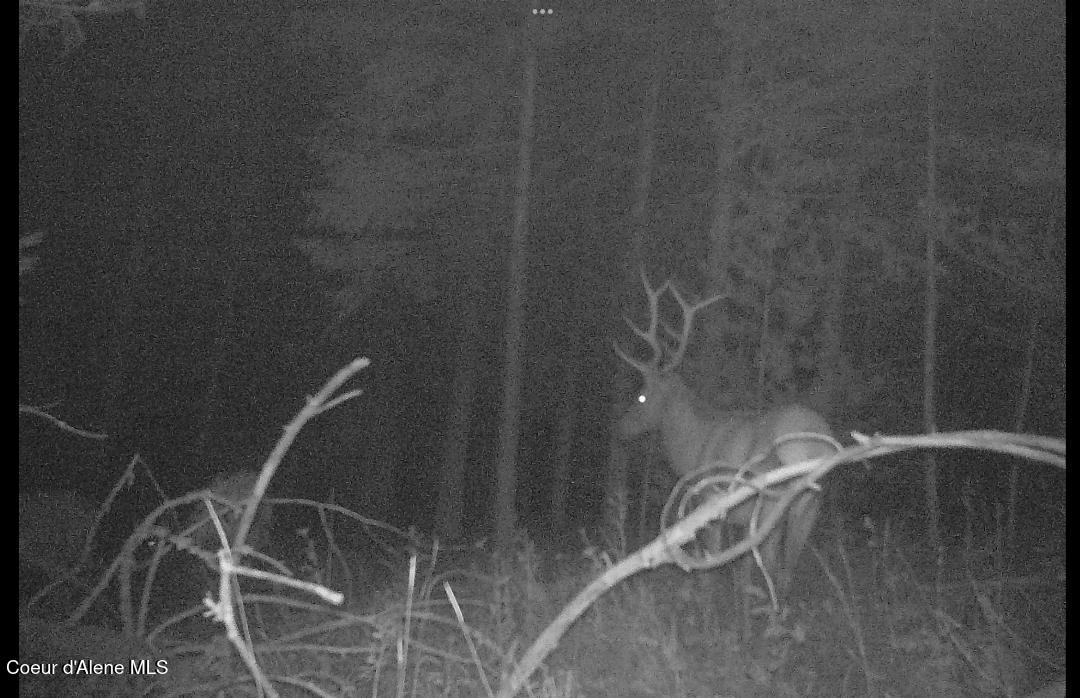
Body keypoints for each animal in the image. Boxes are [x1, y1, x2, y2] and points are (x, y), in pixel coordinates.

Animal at [614, 271, 837, 603]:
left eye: (641, 396)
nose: (618, 427)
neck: (692, 448)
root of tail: (815, 445)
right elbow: (742, 572)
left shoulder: (710, 501)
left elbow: (711, 566)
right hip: (810, 508)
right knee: (786, 571)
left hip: (771, 499)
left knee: (774, 566)